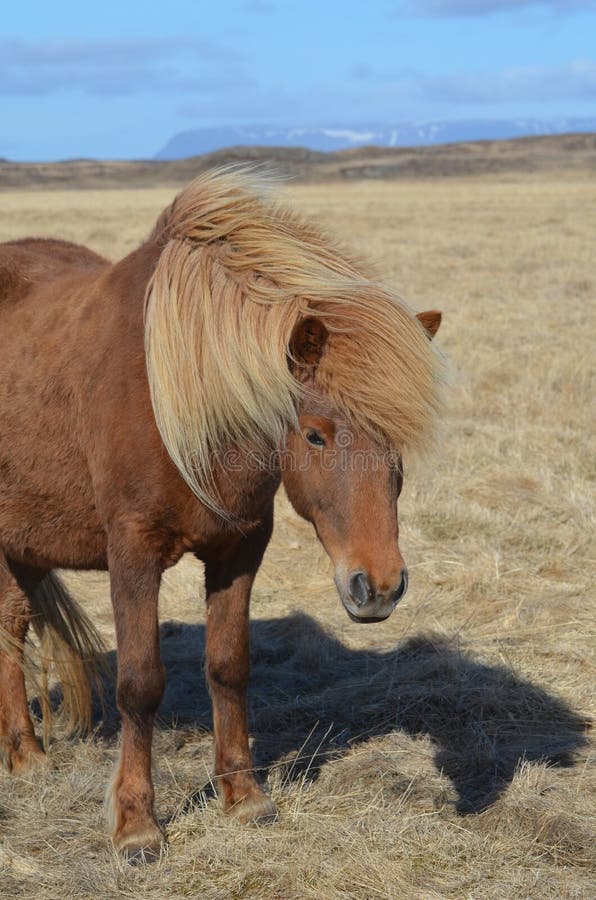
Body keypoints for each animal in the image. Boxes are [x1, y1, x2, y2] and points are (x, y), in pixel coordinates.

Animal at [0, 167, 442, 852]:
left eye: (397, 439)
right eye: (315, 435)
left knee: (12, 625)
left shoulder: (240, 549)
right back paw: (26, 757)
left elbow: (229, 667)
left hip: (24, 539)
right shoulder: (133, 552)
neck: (182, 400)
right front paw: (136, 826)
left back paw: (24, 754)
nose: (379, 587)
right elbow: (140, 683)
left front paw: (243, 796)